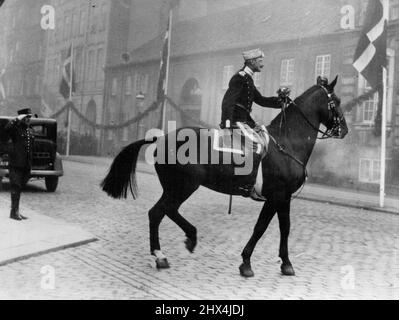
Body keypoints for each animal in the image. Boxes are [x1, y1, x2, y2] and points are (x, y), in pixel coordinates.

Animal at [101, 76, 348, 276]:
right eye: (336, 101)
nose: (344, 130)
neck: (286, 142)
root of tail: (162, 138)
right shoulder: (277, 195)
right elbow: (264, 228)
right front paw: (250, 263)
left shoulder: (281, 198)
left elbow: (280, 228)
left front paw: (282, 263)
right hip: (184, 186)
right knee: (163, 211)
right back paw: (180, 243)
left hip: (174, 187)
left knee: (158, 213)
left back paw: (166, 252)